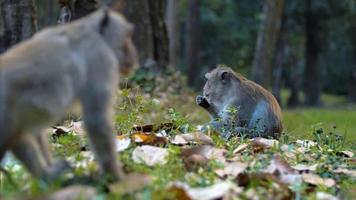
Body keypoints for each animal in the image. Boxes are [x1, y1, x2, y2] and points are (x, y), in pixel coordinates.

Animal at [0, 8, 138, 182]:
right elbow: (96, 120)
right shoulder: (100, 59)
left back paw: (47, 176)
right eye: (127, 36)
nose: (134, 55)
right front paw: (117, 178)